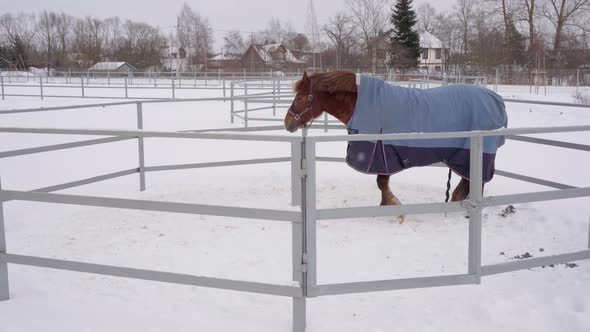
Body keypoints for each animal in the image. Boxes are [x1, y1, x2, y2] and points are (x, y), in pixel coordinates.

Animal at [286, 70, 476, 215]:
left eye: (300, 97)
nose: (287, 122)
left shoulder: (382, 156)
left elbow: (381, 182)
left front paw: (391, 203)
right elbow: (381, 183)